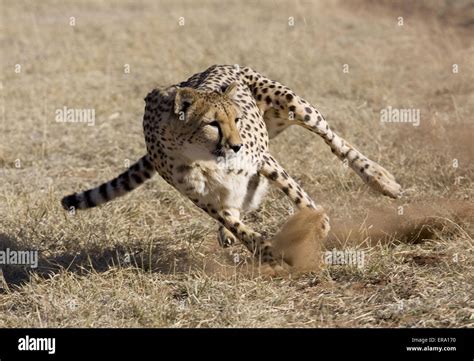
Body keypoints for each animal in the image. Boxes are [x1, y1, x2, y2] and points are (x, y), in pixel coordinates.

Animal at [60, 64, 400, 272]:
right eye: (213, 123)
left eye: (236, 119)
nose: (236, 145)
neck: (204, 157)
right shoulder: (197, 194)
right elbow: (233, 220)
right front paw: (264, 250)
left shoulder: (263, 158)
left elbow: (297, 194)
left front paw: (319, 224)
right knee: (236, 202)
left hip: (294, 106)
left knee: (334, 141)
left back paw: (380, 178)